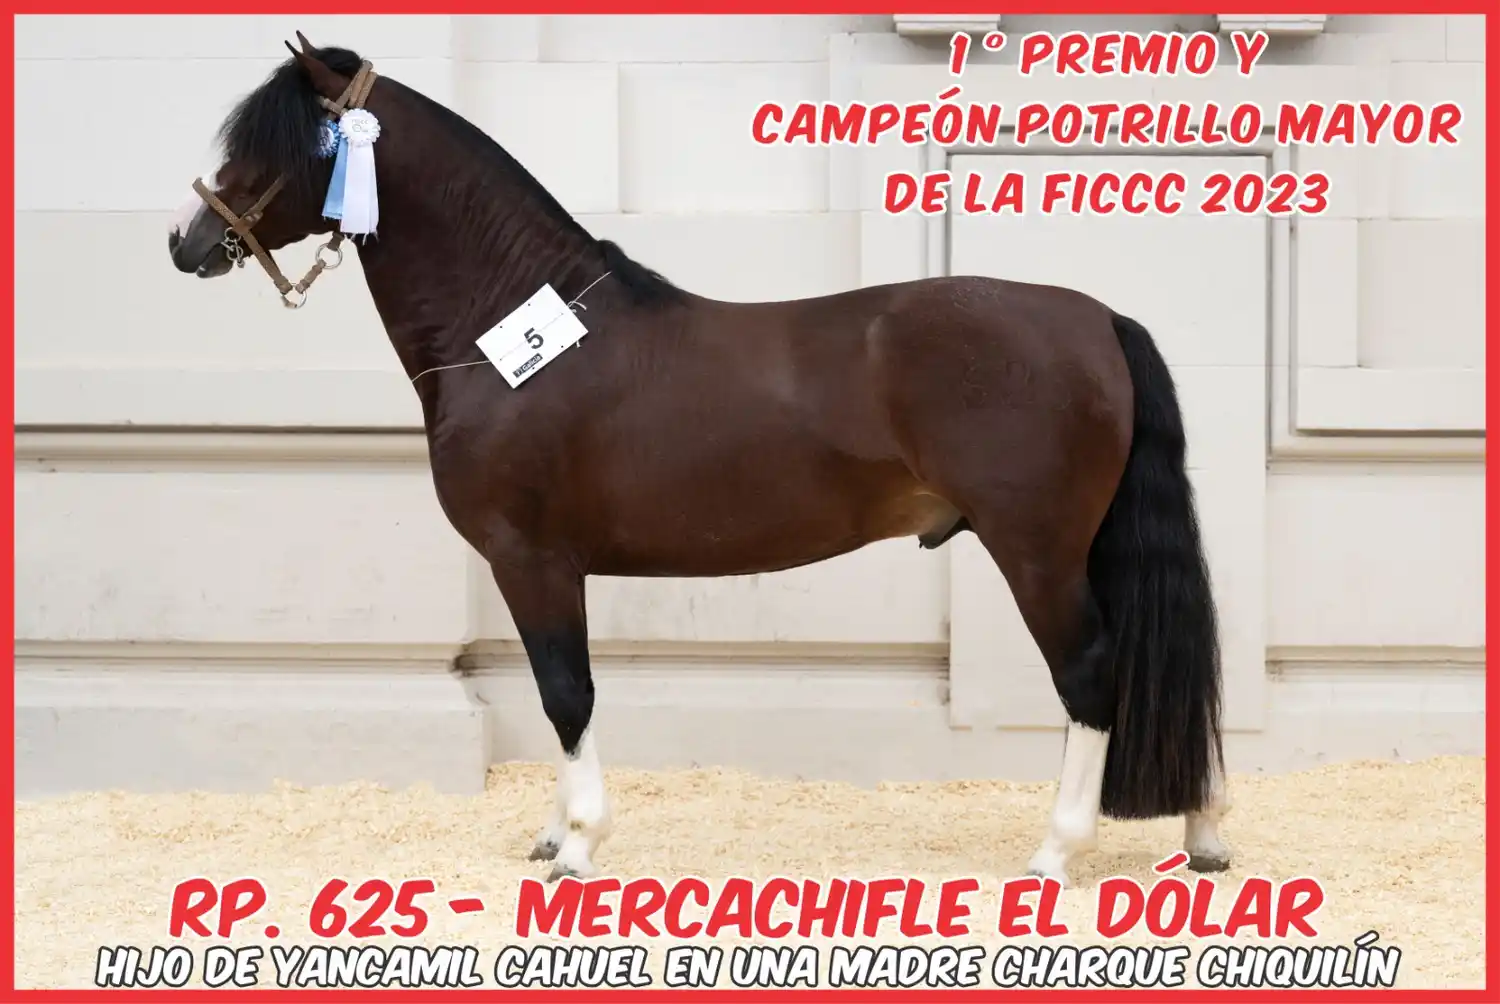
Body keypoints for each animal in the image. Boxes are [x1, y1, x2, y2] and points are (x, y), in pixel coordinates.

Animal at [166, 36, 1231, 888]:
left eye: (285, 143)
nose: (188, 242)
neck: (514, 332)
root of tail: (1096, 319)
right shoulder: (534, 567)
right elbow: (555, 694)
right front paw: (553, 835)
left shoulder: (532, 559)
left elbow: (566, 693)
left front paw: (580, 846)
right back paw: (1204, 838)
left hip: (1037, 549)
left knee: (1092, 675)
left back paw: (1055, 854)